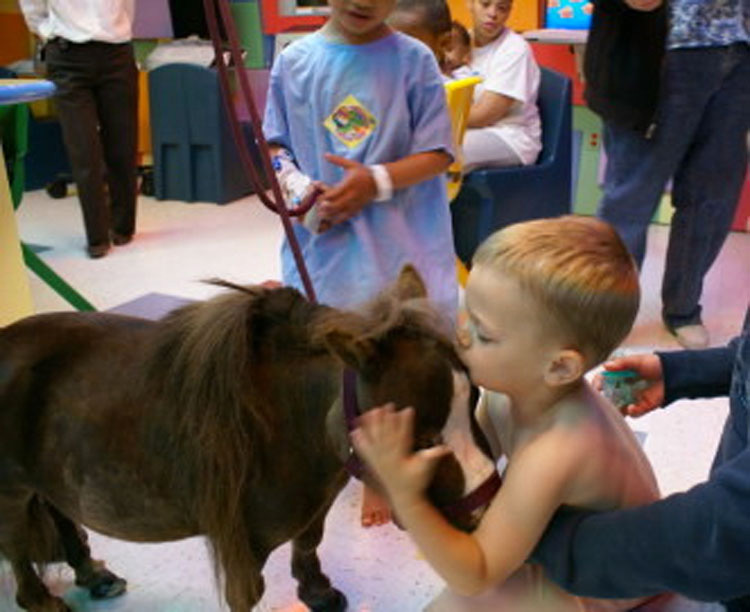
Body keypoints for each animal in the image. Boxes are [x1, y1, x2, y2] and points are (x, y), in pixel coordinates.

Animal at [0, 266, 499, 612]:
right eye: (420, 437)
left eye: (475, 396)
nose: (483, 515)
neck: (290, 419)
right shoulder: (245, 547)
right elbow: (251, 591)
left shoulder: (314, 503)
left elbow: (309, 540)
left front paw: (316, 590)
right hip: (13, 491)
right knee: (17, 545)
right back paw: (40, 599)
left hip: (49, 478)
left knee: (59, 511)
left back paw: (91, 574)